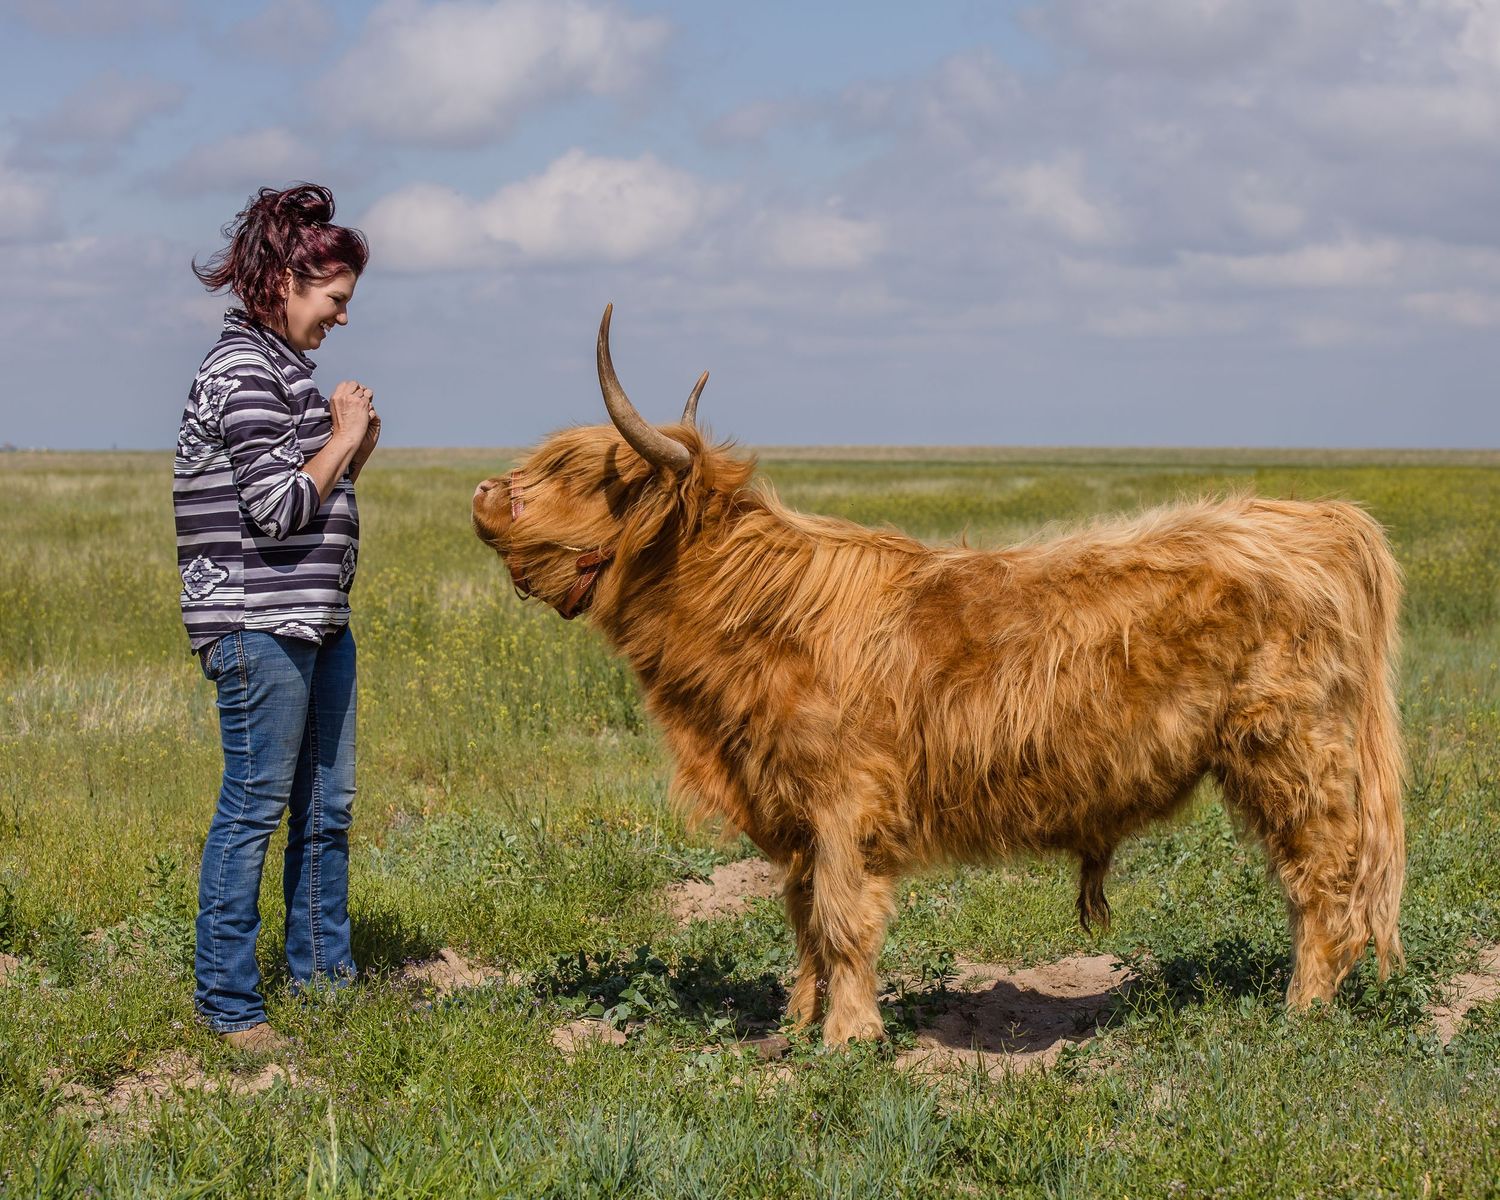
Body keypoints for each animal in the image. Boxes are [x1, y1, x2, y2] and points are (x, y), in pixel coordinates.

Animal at [471, 305, 1406, 1044]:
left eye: (581, 474)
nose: (483, 493)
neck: (755, 618)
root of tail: (1318, 517)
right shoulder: (790, 806)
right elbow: (802, 918)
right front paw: (795, 1026)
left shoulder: (846, 802)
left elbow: (844, 921)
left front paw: (848, 1040)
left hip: (1291, 750)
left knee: (1323, 878)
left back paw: (1301, 1011)